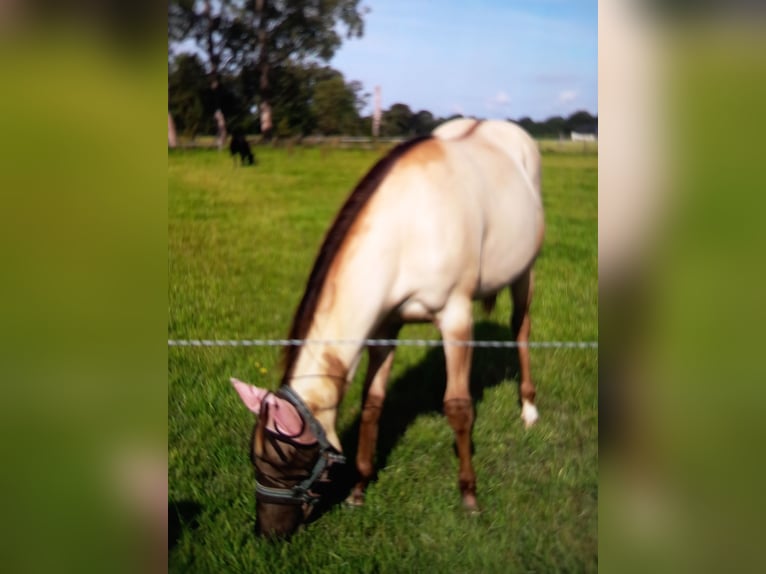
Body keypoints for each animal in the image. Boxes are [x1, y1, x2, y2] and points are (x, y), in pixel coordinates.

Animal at [231, 118, 545, 538]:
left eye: (288, 461)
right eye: (255, 459)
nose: (268, 532)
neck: (408, 227)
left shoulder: (456, 316)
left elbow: (458, 407)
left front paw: (469, 496)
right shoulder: (385, 324)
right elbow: (372, 403)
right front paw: (359, 489)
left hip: (526, 271)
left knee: (520, 329)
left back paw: (529, 409)